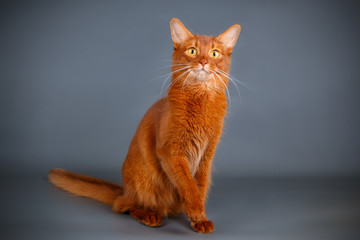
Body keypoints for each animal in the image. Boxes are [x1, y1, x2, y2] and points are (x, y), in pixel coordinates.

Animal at [47, 17, 239, 233]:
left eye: (214, 53)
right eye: (192, 51)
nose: (204, 62)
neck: (201, 98)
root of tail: (124, 190)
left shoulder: (207, 155)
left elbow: (200, 187)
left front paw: (199, 219)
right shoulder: (170, 152)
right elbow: (188, 185)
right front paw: (196, 212)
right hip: (144, 178)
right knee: (122, 206)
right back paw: (149, 215)